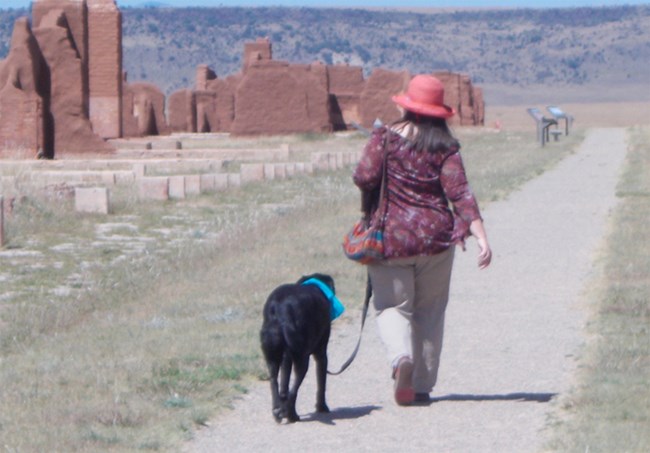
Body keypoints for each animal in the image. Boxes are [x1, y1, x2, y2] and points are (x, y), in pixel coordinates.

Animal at [260, 274, 336, 422]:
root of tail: (279, 309)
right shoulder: (321, 354)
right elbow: (321, 383)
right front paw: (322, 407)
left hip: (273, 356)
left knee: (275, 383)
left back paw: (278, 411)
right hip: (301, 358)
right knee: (291, 390)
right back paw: (291, 415)